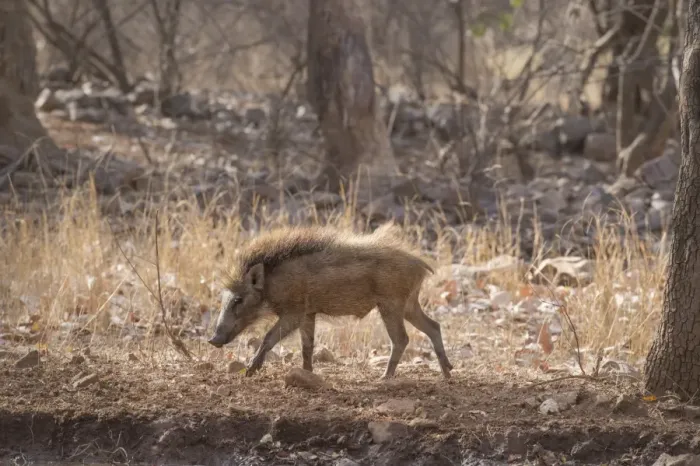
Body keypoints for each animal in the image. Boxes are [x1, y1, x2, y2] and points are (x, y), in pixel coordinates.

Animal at [208, 223, 453, 379]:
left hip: (391, 305)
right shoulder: (308, 314)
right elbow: (307, 346)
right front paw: (307, 373)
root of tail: (420, 263)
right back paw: (447, 372)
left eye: (238, 299)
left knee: (401, 339)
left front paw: (249, 371)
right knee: (434, 326)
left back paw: (385, 378)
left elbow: (268, 338)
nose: (213, 339)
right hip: (409, 305)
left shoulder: (294, 313)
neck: (271, 284)